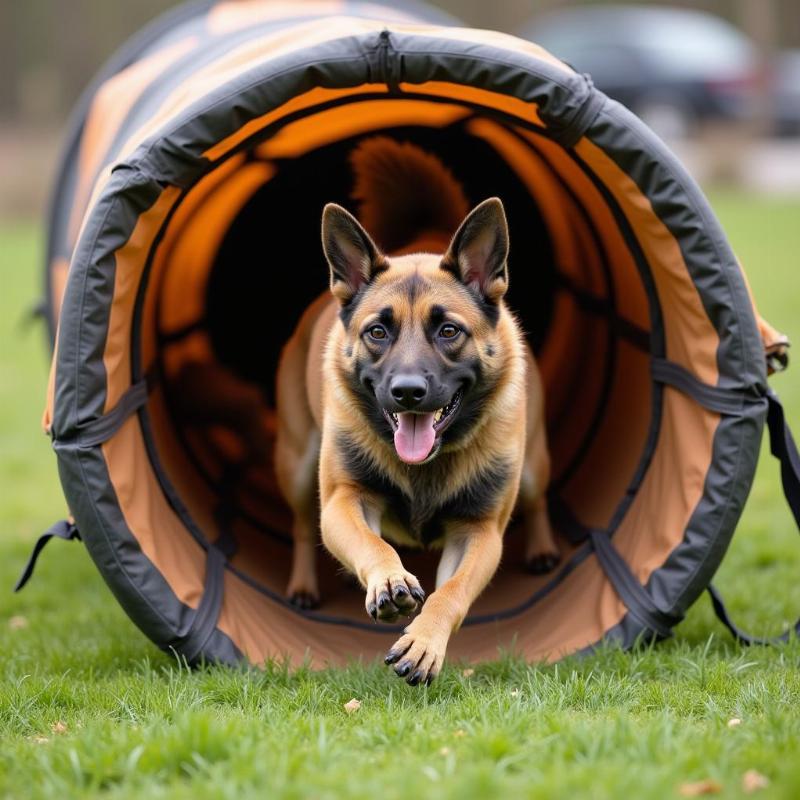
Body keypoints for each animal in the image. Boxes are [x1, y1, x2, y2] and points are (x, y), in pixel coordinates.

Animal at [276, 139, 556, 688]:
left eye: (448, 331)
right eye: (377, 332)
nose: (407, 393)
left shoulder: (479, 533)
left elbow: (450, 593)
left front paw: (424, 643)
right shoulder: (344, 501)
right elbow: (373, 545)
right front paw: (388, 581)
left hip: (533, 469)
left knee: (538, 502)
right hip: (297, 468)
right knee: (299, 526)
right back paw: (302, 584)